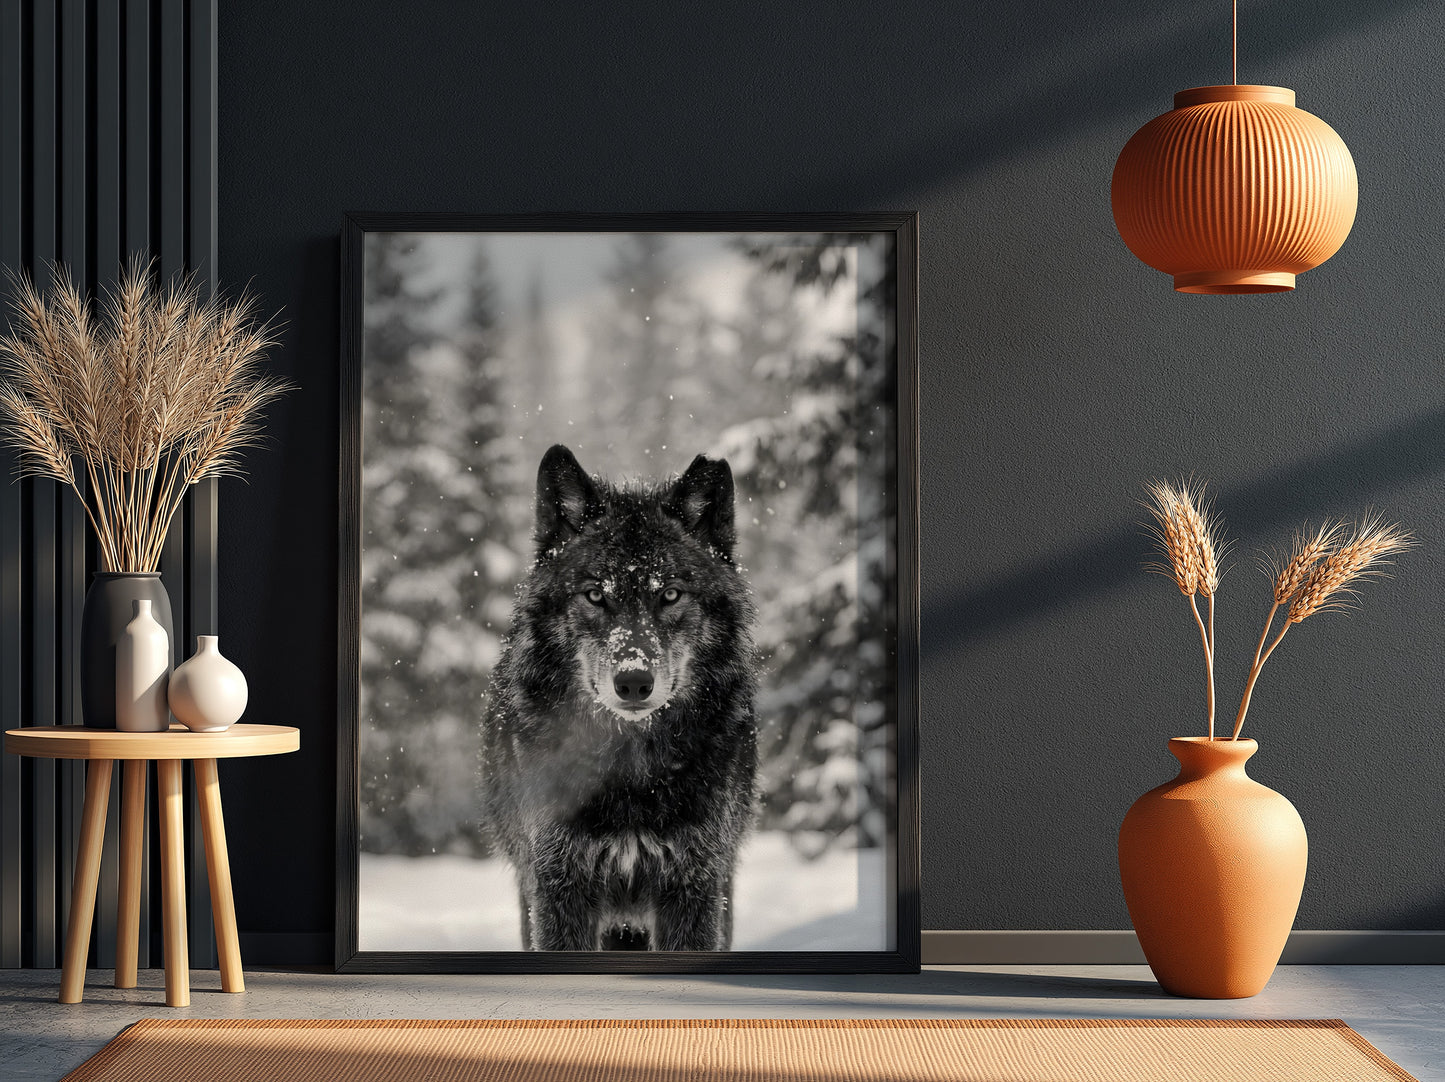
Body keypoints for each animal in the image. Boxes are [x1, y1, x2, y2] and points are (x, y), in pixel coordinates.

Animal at [481, 444, 758, 952]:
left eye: (670, 594)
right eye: (595, 595)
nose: (632, 681)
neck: (630, 770)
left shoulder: (696, 885)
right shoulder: (556, 885)